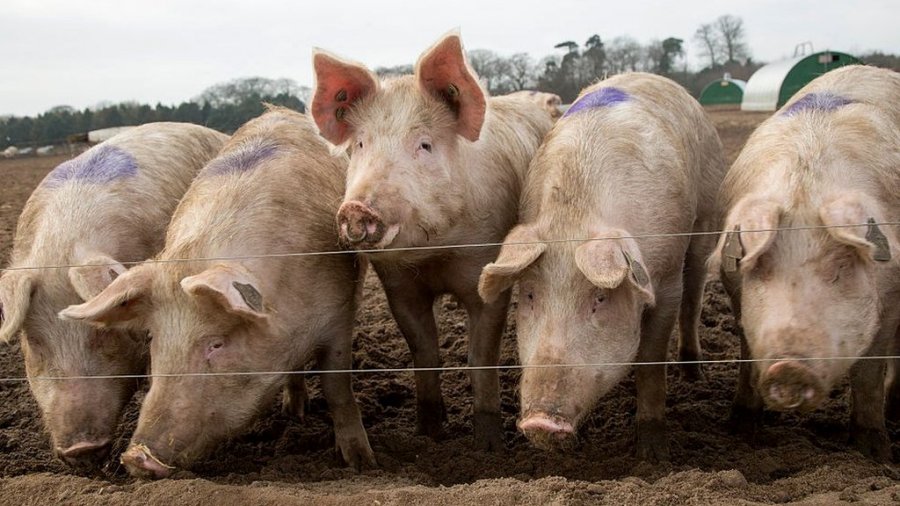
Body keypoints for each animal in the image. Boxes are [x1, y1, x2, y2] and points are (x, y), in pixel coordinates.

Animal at [59, 107, 374, 478]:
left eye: (216, 343)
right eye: (152, 338)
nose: (136, 457)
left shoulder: (340, 313)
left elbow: (338, 387)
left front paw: (362, 465)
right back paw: (294, 412)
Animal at [312, 32, 556, 450]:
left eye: (424, 145)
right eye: (360, 145)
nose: (356, 209)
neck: (434, 252)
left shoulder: (485, 269)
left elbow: (480, 358)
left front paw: (488, 447)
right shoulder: (398, 285)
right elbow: (424, 351)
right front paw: (428, 435)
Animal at [478, 73, 724, 460]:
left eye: (600, 298)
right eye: (530, 295)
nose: (540, 422)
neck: (576, 217)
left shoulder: (667, 277)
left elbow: (651, 361)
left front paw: (653, 456)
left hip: (706, 220)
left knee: (695, 293)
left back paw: (692, 374)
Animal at [712, 64, 900, 462]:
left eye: (840, 267)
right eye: (761, 267)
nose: (789, 369)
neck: (805, 184)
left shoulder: (892, 297)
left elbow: (869, 373)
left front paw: (874, 455)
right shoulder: (737, 294)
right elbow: (747, 354)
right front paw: (740, 431)